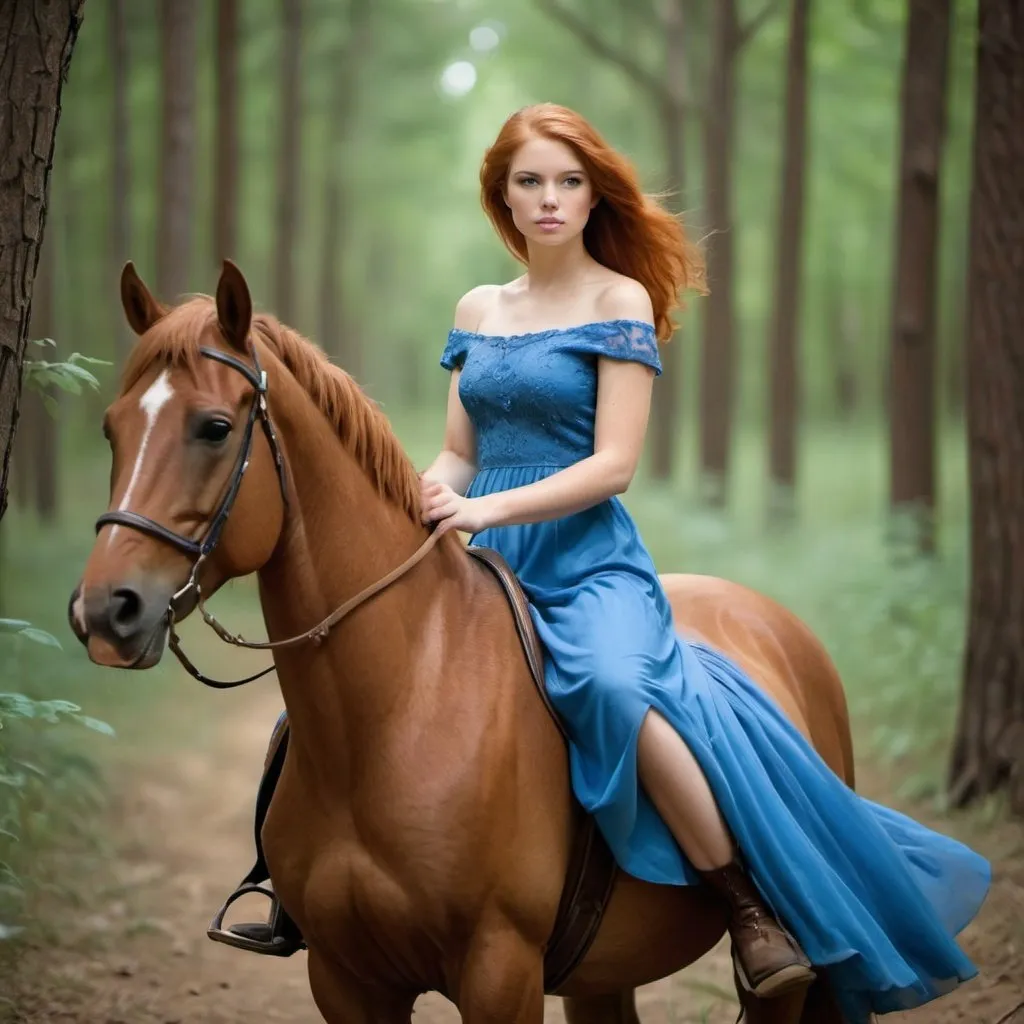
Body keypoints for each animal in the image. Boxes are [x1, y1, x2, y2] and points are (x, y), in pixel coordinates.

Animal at [72, 264, 851, 1024]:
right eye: (111, 429)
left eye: (213, 428)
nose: (105, 611)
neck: (398, 709)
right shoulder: (346, 980)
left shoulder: (500, 970)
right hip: (604, 977)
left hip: (791, 983)